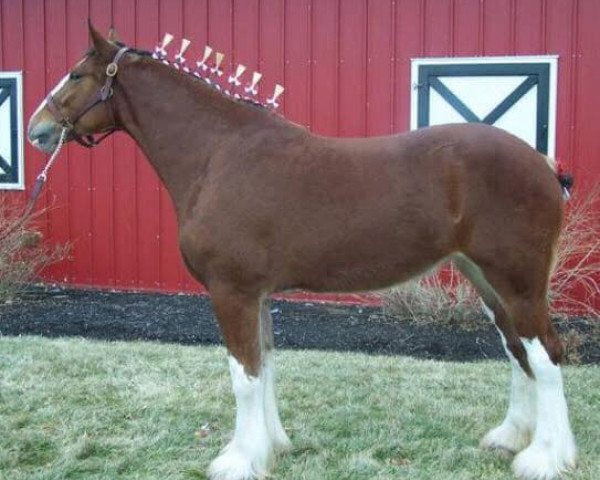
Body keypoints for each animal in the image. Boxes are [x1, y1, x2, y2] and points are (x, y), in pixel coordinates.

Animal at [27, 25, 576, 480]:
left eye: (76, 74)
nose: (36, 129)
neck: (218, 154)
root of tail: (543, 164)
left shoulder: (232, 291)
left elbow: (244, 375)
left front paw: (237, 461)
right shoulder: (257, 295)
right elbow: (265, 365)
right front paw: (270, 447)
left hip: (518, 282)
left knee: (545, 355)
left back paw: (546, 459)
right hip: (488, 281)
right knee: (517, 352)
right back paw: (511, 439)